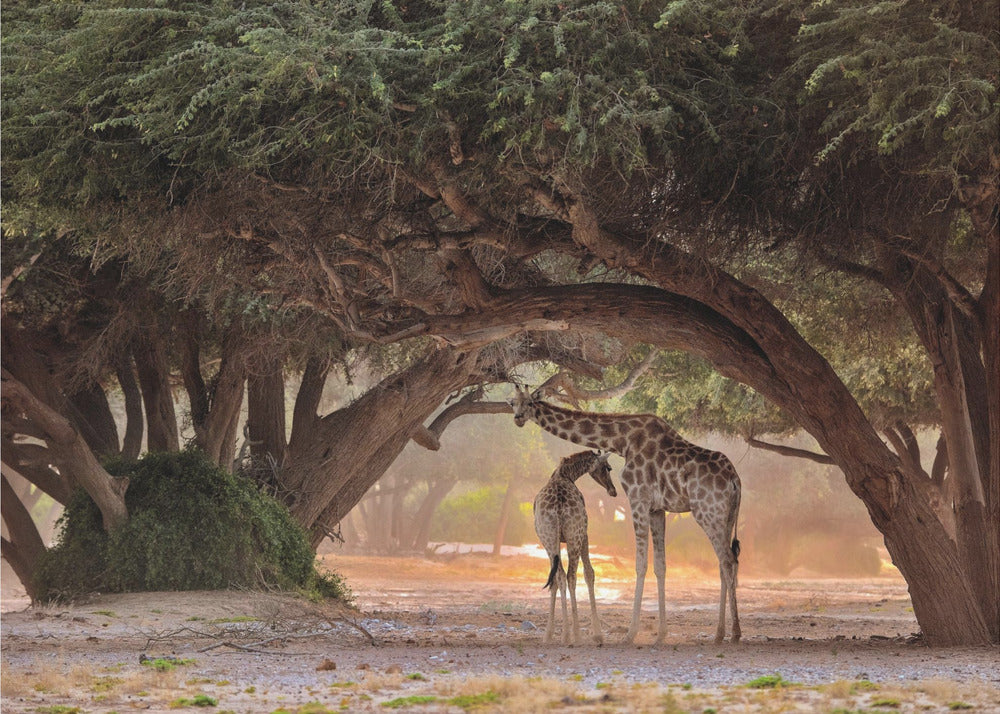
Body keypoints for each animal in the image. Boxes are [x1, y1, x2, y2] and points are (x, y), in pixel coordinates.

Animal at [533, 449, 617, 645]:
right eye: (608, 467)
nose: (613, 491)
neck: (566, 474)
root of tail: (557, 506)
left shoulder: (552, 542)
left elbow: (555, 580)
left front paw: (549, 634)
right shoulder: (585, 534)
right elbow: (589, 573)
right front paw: (597, 633)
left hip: (549, 539)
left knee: (559, 576)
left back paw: (564, 634)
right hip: (574, 537)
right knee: (571, 576)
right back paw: (576, 634)